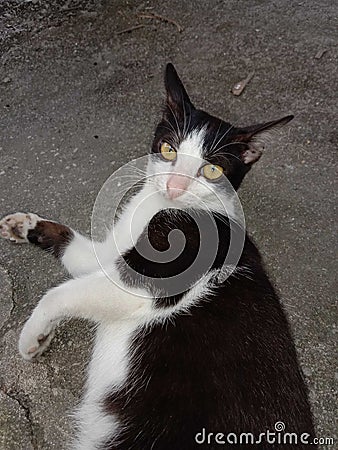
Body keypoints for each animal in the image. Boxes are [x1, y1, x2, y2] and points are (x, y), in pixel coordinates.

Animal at [0, 64, 316, 450]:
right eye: (168, 149)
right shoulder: (110, 254)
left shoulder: (148, 279)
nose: (174, 187)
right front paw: (25, 225)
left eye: (212, 170)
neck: (162, 207)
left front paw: (33, 337)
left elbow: (59, 293)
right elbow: (79, 249)